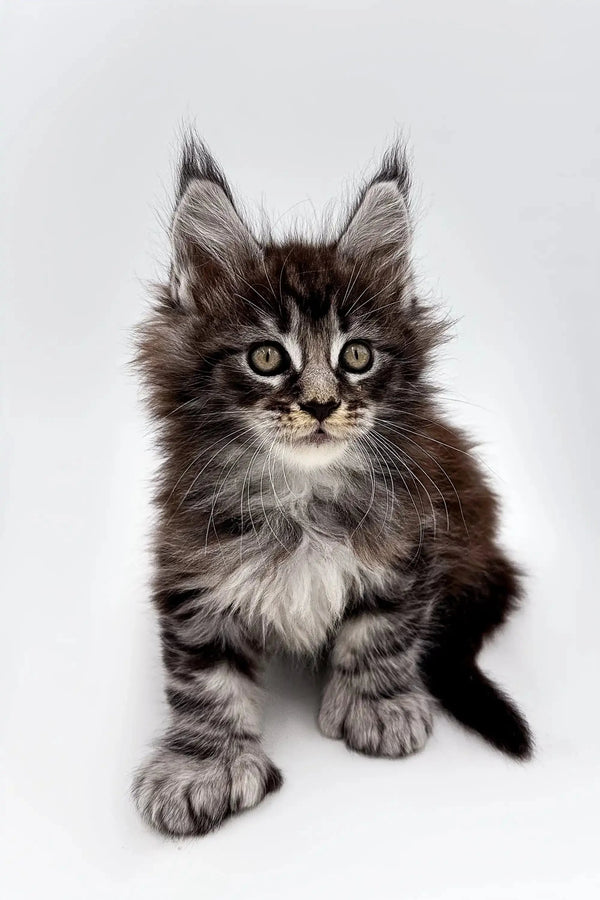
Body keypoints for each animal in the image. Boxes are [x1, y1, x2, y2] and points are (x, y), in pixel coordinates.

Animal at [134, 137, 532, 840]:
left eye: (357, 356)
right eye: (267, 357)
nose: (321, 405)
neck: (303, 495)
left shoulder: (409, 540)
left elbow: (381, 630)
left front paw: (377, 705)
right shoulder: (192, 561)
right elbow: (204, 677)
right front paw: (201, 766)